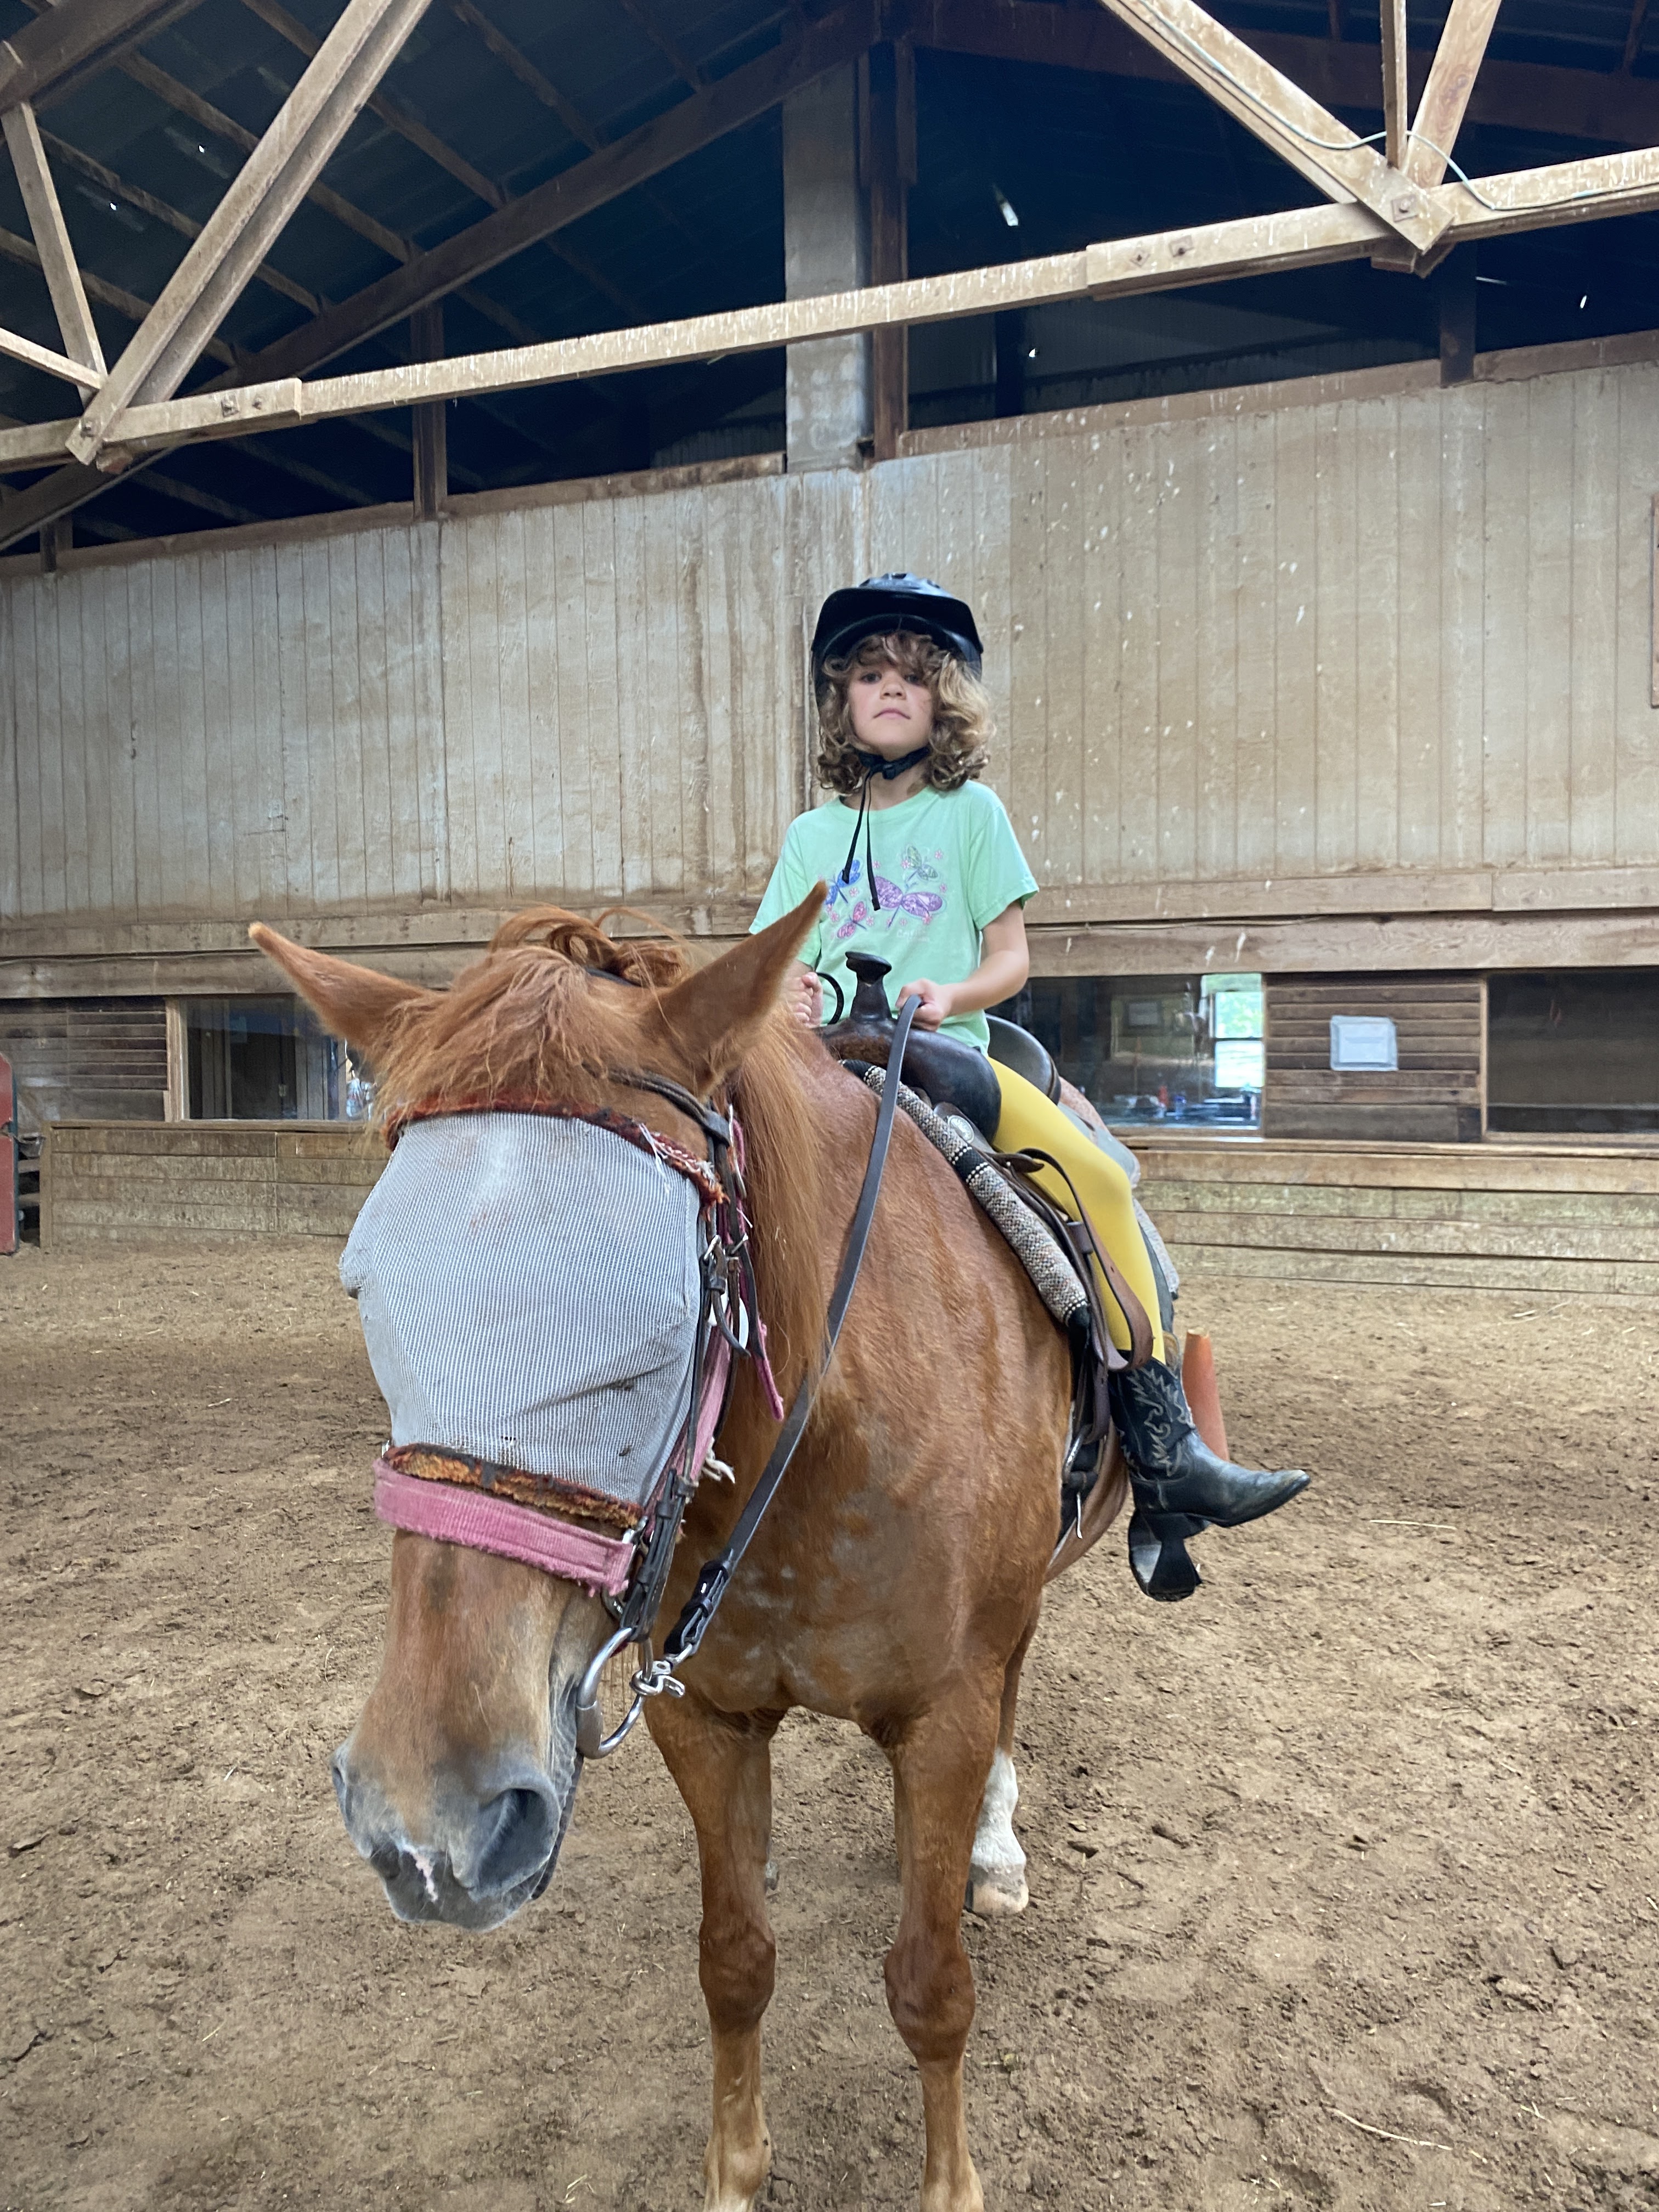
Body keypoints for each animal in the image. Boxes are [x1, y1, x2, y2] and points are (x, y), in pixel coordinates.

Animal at [252, 887, 1128, 2212]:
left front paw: (950, 2182)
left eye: (661, 1316)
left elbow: (931, 1985)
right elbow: (733, 1959)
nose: (429, 1821)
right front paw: (733, 2171)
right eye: (366, 1291)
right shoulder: (701, 1717)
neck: (825, 1437)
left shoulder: (945, 1714)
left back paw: (990, 1846)